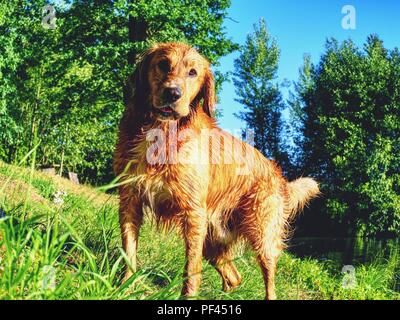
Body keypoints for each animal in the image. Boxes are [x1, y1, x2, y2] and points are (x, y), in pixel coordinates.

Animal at [112, 42, 318, 300]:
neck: (161, 131)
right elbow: (128, 252)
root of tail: (277, 174)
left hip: (262, 236)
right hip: (213, 242)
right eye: (163, 64)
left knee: (269, 281)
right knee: (234, 276)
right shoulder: (130, 198)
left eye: (193, 72)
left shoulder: (193, 214)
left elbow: (191, 269)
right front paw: (124, 288)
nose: (173, 93)